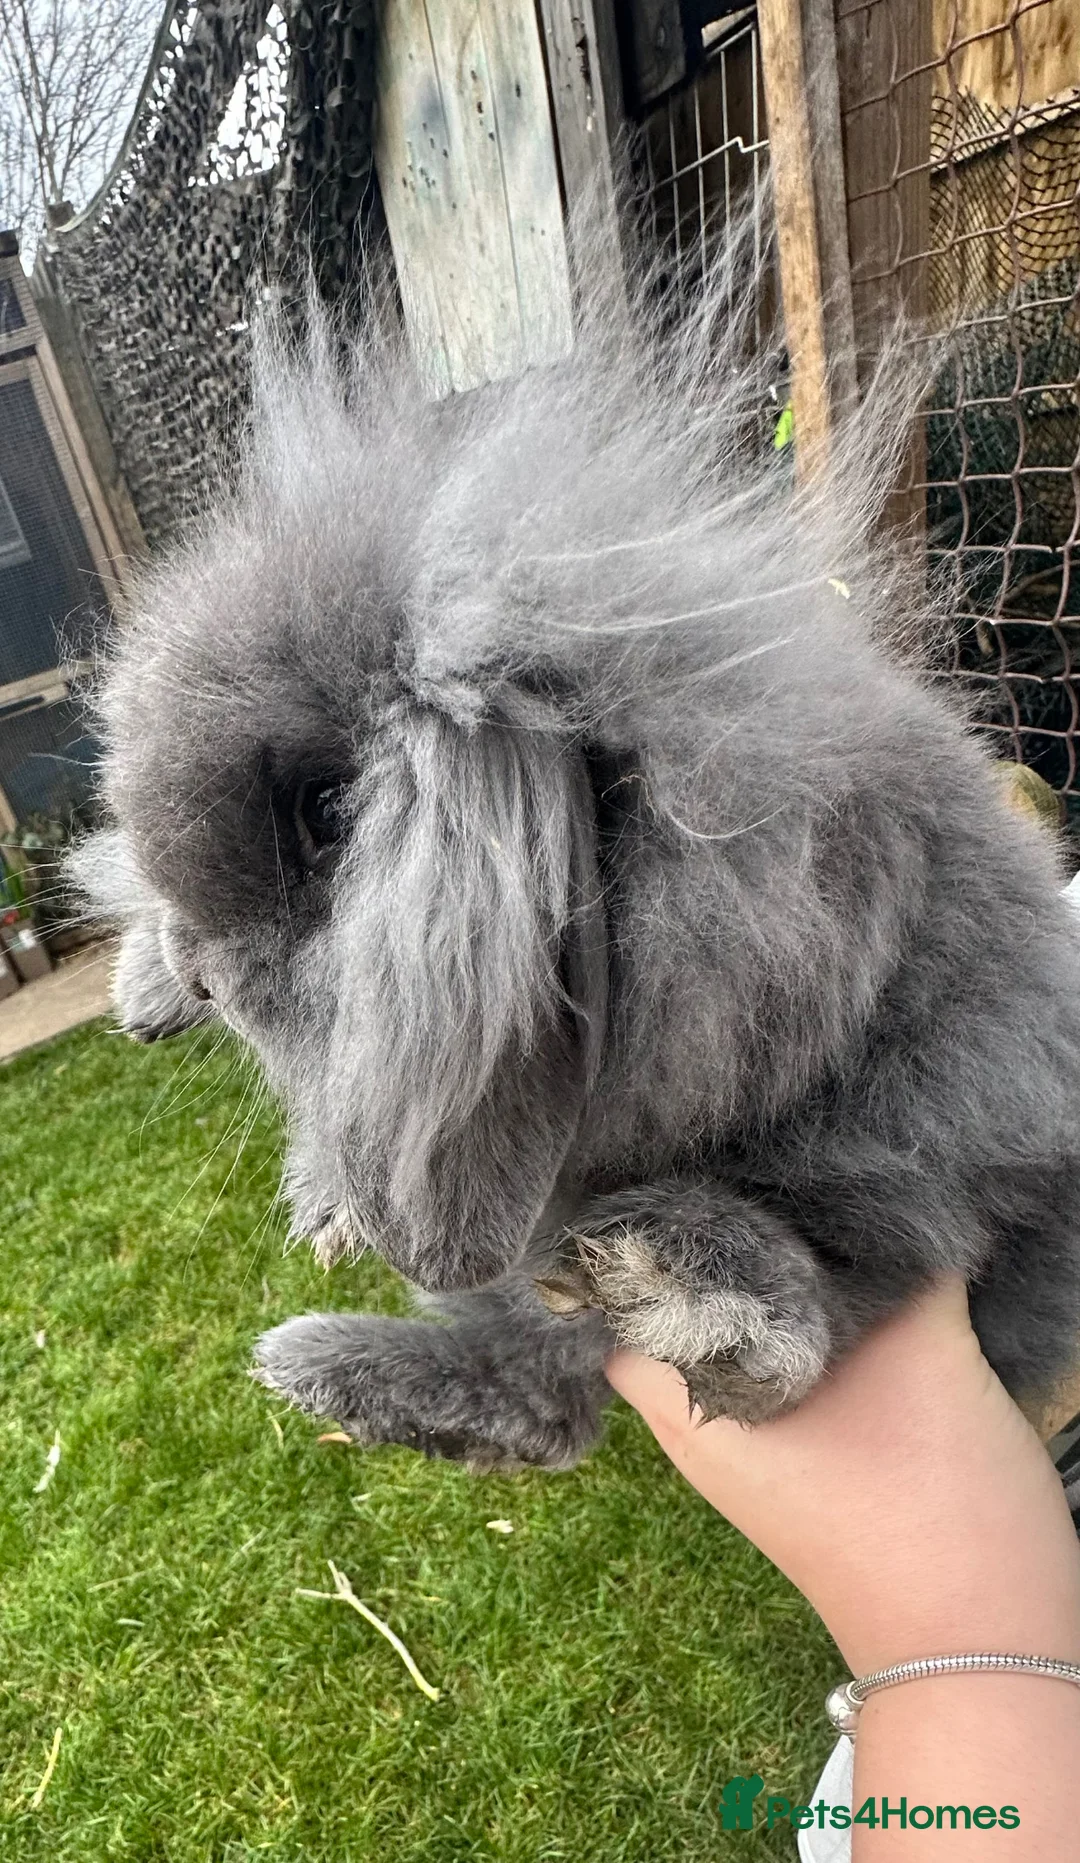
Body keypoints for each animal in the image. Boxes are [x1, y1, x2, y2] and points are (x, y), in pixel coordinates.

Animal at [70, 241, 1080, 1474]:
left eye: (328, 811)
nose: (203, 971)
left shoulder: (948, 1177)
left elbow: (832, 1298)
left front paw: (693, 1290)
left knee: (550, 1403)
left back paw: (337, 1368)